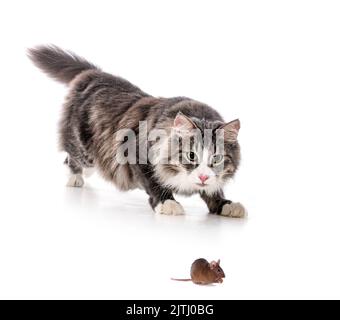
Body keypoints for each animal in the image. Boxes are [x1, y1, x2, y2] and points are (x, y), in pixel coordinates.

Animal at [27, 45, 246, 218]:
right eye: (191, 155)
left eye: (217, 158)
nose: (202, 177)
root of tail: (93, 74)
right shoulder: (137, 155)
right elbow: (156, 186)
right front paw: (169, 204)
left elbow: (214, 192)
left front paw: (227, 205)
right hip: (83, 147)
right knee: (71, 157)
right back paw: (76, 178)